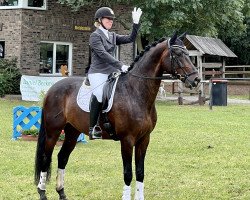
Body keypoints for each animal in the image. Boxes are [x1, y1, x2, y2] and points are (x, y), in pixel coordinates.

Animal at [34, 32, 200, 199]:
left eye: (188, 53)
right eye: (177, 54)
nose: (196, 79)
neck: (136, 92)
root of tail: (52, 89)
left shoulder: (144, 139)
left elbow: (140, 172)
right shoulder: (127, 139)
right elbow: (128, 173)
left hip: (72, 132)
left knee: (62, 157)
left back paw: (61, 192)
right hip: (53, 132)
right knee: (46, 158)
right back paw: (42, 192)